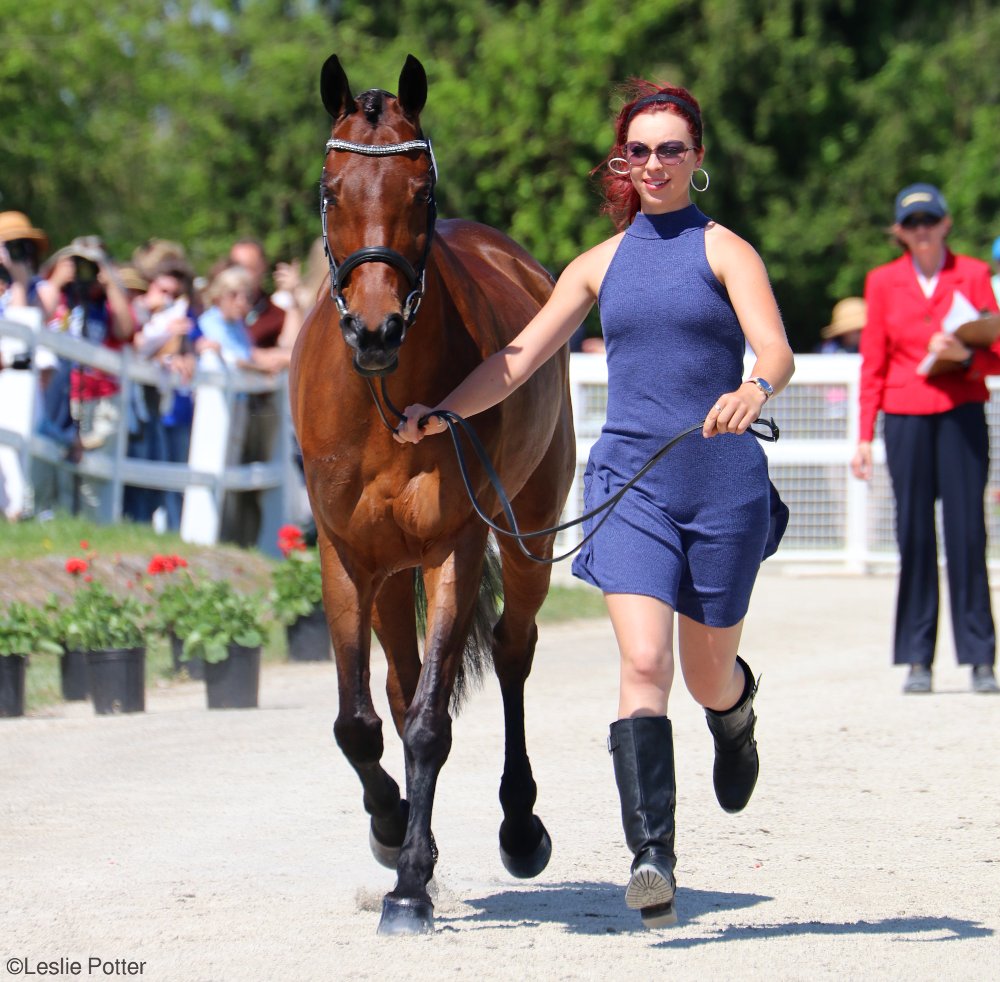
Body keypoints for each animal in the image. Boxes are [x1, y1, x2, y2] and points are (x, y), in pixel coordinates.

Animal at [288, 55, 580, 936]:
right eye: (330, 190)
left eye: (423, 193)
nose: (375, 329)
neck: (388, 403)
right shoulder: (348, 558)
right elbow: (359, 721)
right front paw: (390, 833)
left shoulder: (456, 546)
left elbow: (426, 725)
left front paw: (411, 886)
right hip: (392, 574)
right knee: (397, 681)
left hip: (527, 538)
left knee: (513, 651)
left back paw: (520, 828)